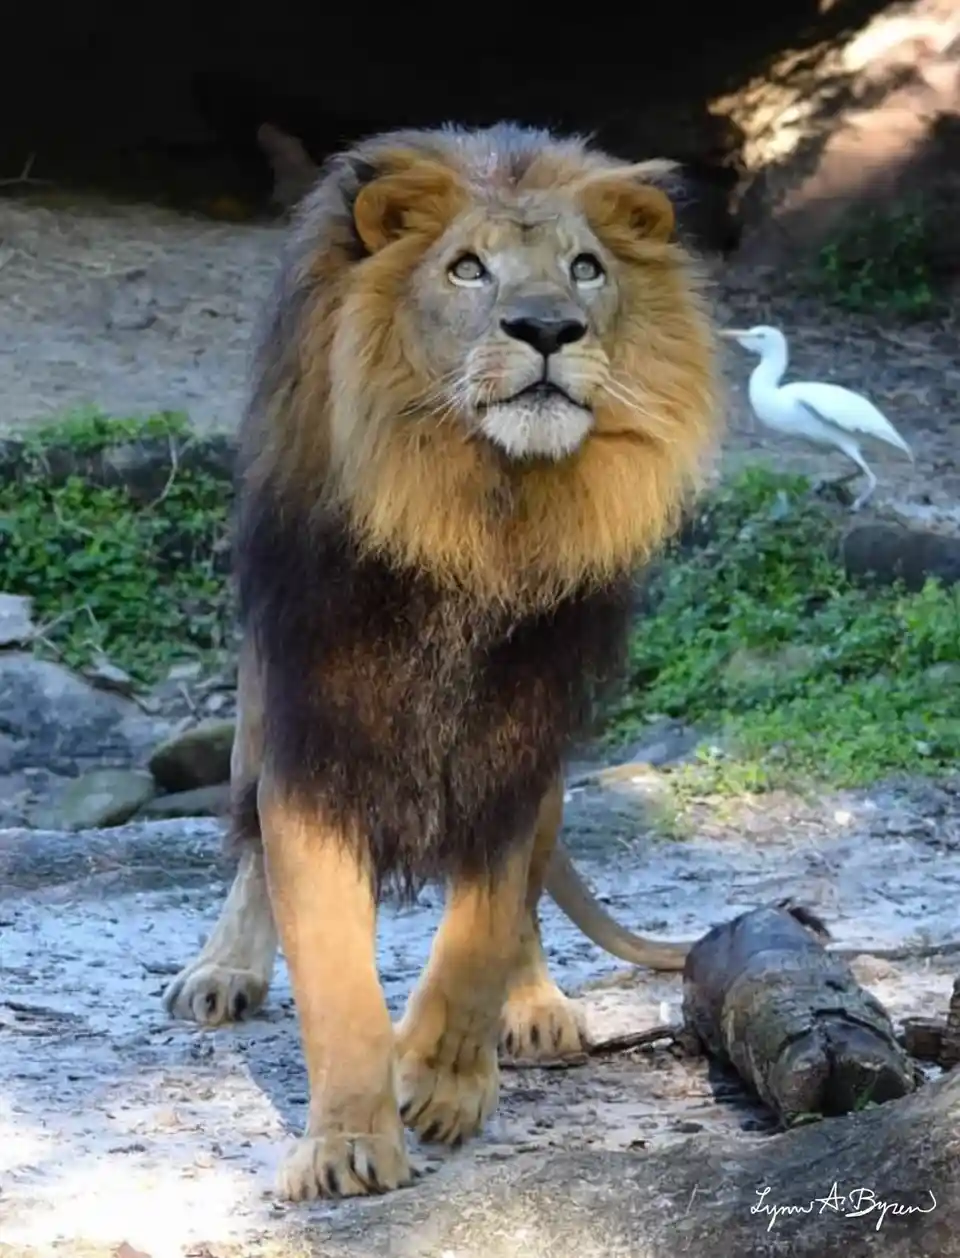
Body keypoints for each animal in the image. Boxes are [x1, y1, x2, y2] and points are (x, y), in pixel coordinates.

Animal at [162, 121, 722, 1202]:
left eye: (586, 269)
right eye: (468, 268)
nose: (548, 329)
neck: (477, 513)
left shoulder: (523, 728)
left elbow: (486, 921)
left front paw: (443, 1073)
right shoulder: (318, 726)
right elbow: (332, 964)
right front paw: (347, 1143)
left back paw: (532, 1007)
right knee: (245, 834)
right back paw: (226, 968)